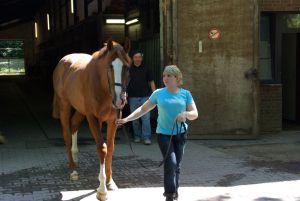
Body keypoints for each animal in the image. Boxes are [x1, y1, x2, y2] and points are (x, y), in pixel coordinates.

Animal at [51, 38, 131, 200]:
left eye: (126, 67)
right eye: (109, 66)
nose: (119, 100)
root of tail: (63, 62)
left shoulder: (112, 120)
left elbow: (110, 147)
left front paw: (110, 181)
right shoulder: (93, 118)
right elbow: (102, 148)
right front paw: (102, 190)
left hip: (80, 110)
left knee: (74, 125)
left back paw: (75, 158)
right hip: (65, 105)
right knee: (67, 134)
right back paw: (73, 170)